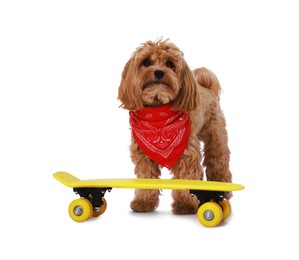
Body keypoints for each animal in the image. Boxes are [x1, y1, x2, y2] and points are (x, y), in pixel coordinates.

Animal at [118, 38, 233, 213]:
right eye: (146, 62)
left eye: (170, 64)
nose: (159, 72)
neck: (158, 114)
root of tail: (205, 87)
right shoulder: (143, 155)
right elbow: (146, 177)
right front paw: (144, 202)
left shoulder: (187, 154)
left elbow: (185, 178)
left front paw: (185, 204)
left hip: (216, 138)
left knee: (218, 161)